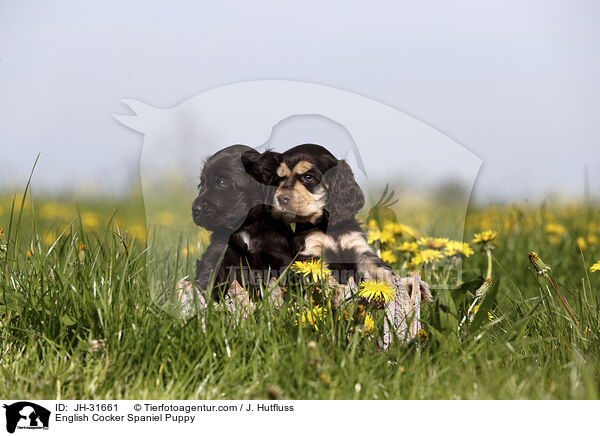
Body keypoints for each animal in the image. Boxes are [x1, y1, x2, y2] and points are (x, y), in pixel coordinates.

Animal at [192, 144, 292, 300]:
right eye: (202, 184)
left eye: (222, 182)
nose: (195, 210)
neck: (246, 227)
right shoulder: (220, 250)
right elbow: (210, 270)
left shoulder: (278, 255)